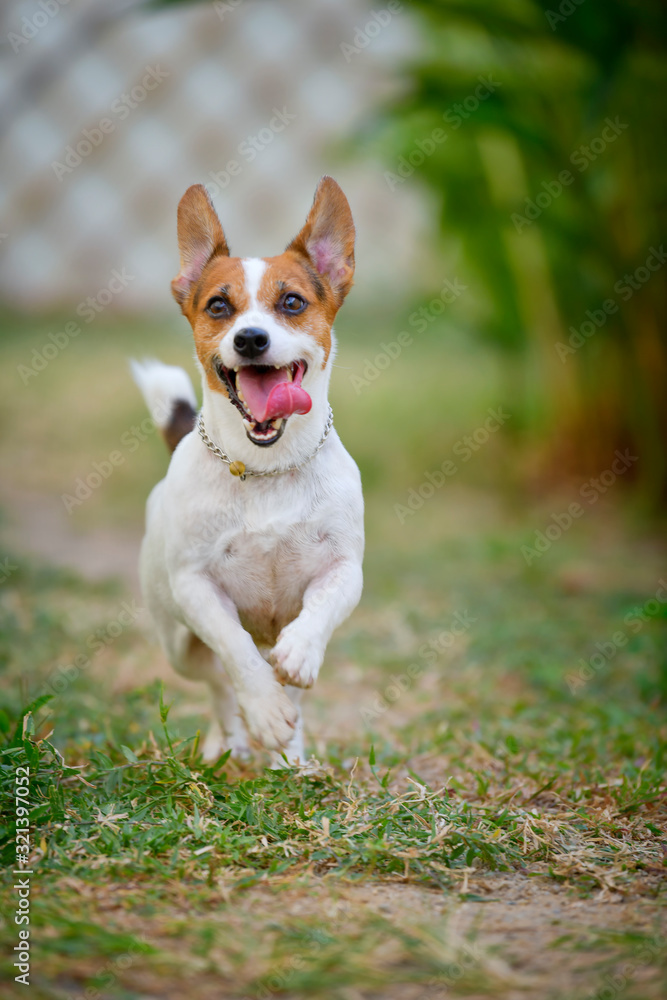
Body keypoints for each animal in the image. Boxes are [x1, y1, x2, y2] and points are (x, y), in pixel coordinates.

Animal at [131, 176, 366, 760]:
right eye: (219, 306)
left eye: (292, 302)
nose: (250, 339)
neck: (267, 468)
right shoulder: (196, 586)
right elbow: (236, 649)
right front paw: (262, 710)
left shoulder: (343, 569)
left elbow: (320, 610)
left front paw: (300, 652)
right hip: (178, 644)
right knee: (218, 681)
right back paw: (233, 740)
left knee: (286, 686)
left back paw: (292, 755)